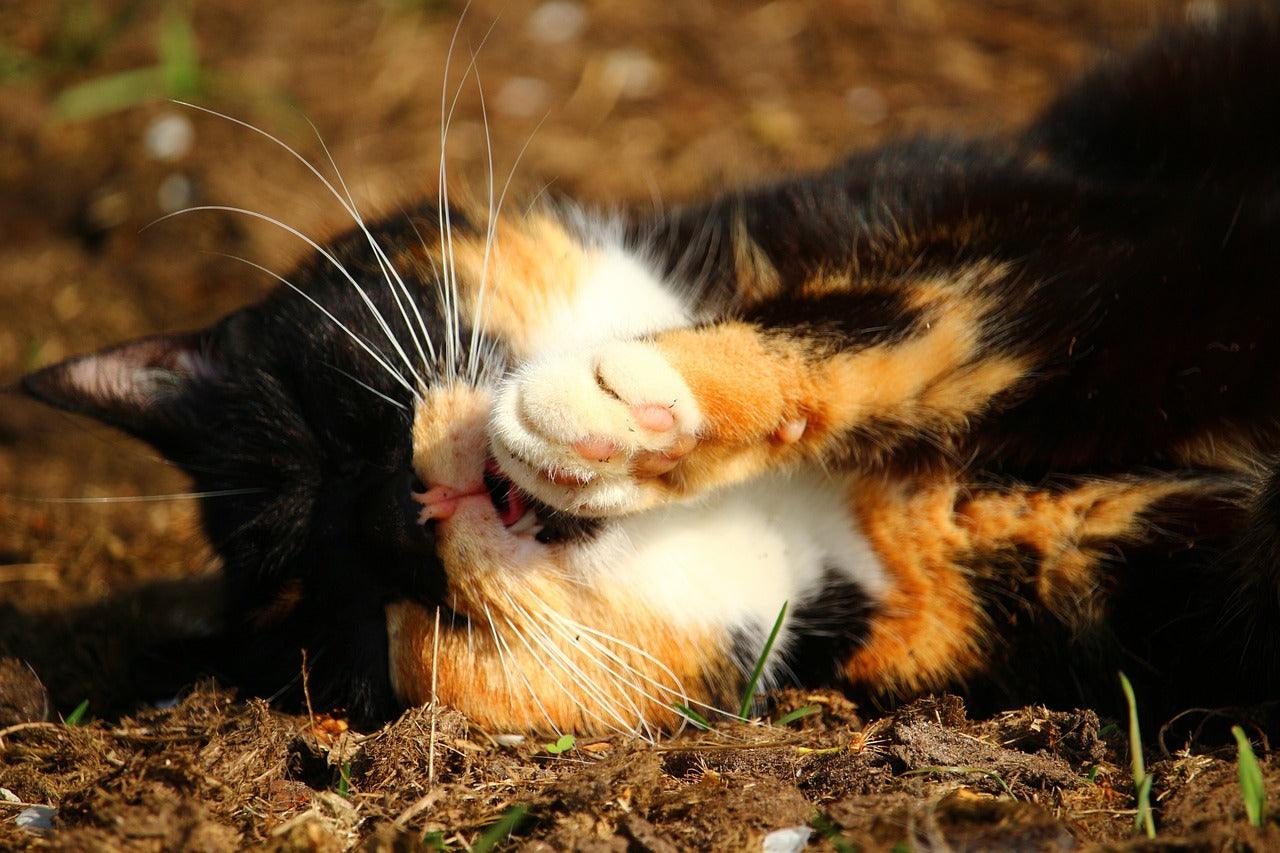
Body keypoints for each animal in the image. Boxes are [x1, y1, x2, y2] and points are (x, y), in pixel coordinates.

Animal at [17, 6, 1280, 732]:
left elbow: (923, 314)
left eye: (335, 408)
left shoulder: (1103, 228)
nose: (391, 516)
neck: (804, 513)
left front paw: (605, 399)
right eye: (359, 619)